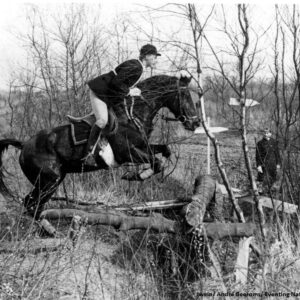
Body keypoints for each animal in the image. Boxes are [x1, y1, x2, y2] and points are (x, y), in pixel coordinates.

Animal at [0, 74, 202, 217]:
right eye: (184, 94)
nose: (195, 123)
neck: (132, 114)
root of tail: (24, 145)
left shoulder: (143, 146)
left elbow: (164, 151)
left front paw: (143, 173)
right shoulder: (126, 153)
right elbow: (156, 162)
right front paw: (135, 175)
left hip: (53, 180)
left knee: (33, 204)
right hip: (48, 181)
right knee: (30, 203)